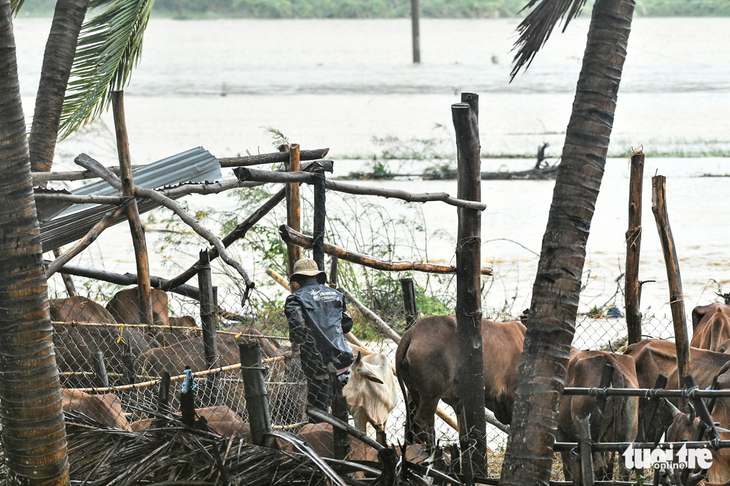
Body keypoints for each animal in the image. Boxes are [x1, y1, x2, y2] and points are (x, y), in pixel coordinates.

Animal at [556, 352, 636, 480]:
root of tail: (611, 360)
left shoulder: (561, 431)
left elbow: (567, 469)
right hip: (628, 433)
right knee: (624, 468)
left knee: (599, 466)